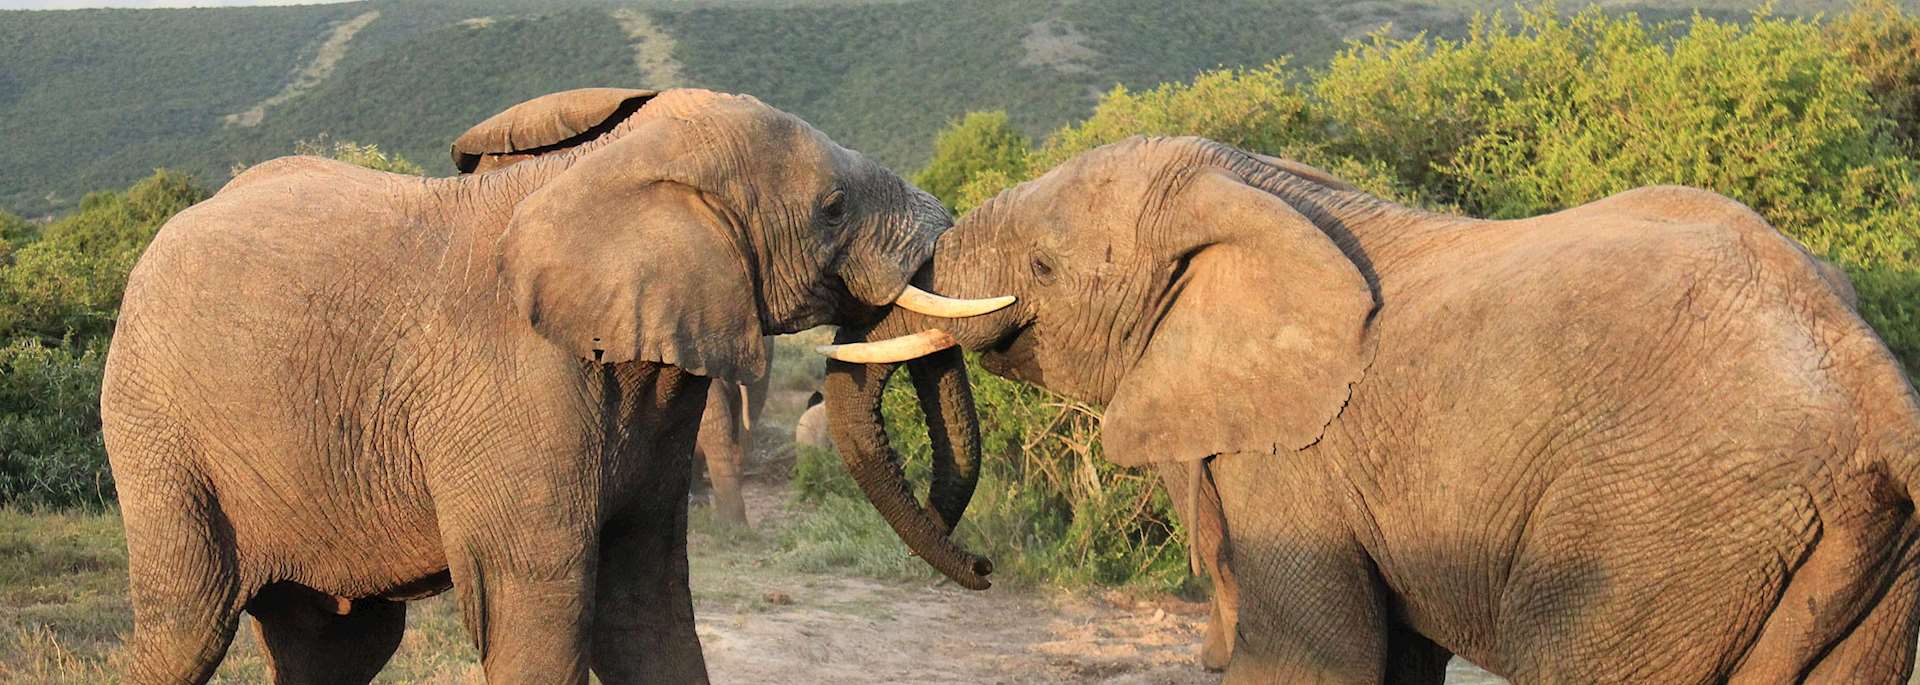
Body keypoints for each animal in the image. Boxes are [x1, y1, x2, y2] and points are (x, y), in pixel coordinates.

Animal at [100, 87, 1010, 684]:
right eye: (832, 206)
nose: (985, 564)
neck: (612, 168)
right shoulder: (514, 379)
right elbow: (541, 610)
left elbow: (645, 605)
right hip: (155, 428)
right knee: (188, 622)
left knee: (338, 648)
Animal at [819, 135, 1920, 683]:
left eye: (1045, 268)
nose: (982, 565)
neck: (1257, 186)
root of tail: (1874, 382)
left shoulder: (1290, 462)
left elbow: (1311, 658)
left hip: (1661, 531)